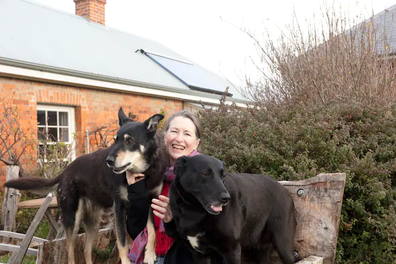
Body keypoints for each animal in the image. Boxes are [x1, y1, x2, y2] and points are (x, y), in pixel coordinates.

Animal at [3, 108, 164, 264]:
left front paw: (150, 254)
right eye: (115, 141)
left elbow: (152, 230)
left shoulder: (150, 201)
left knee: (86, 250)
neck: (142, 173)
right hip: (72, 219)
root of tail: (64, 173)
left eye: (129, 140)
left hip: (93, 222)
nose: (109, 161)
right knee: (70, 253)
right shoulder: (119, 207)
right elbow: (122, 243)